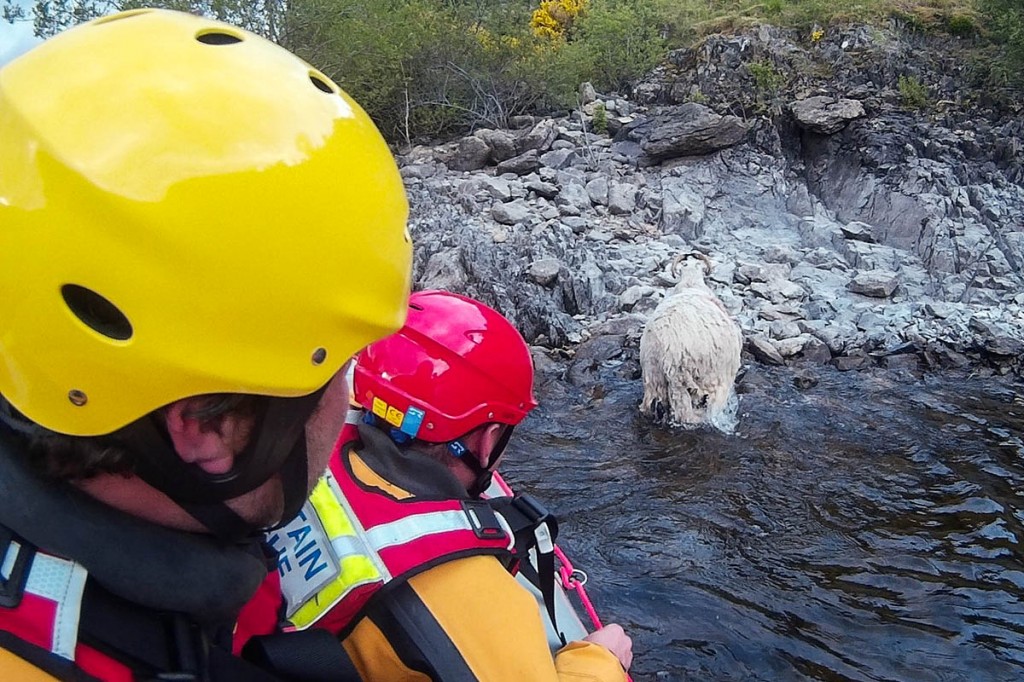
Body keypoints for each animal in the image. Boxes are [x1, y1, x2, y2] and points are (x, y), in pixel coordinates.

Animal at [639, 251, 743, 431]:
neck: (691, 282)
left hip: (653, 377)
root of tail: (669, 352)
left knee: (649, 406)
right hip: (705, 380)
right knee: (695, 413)